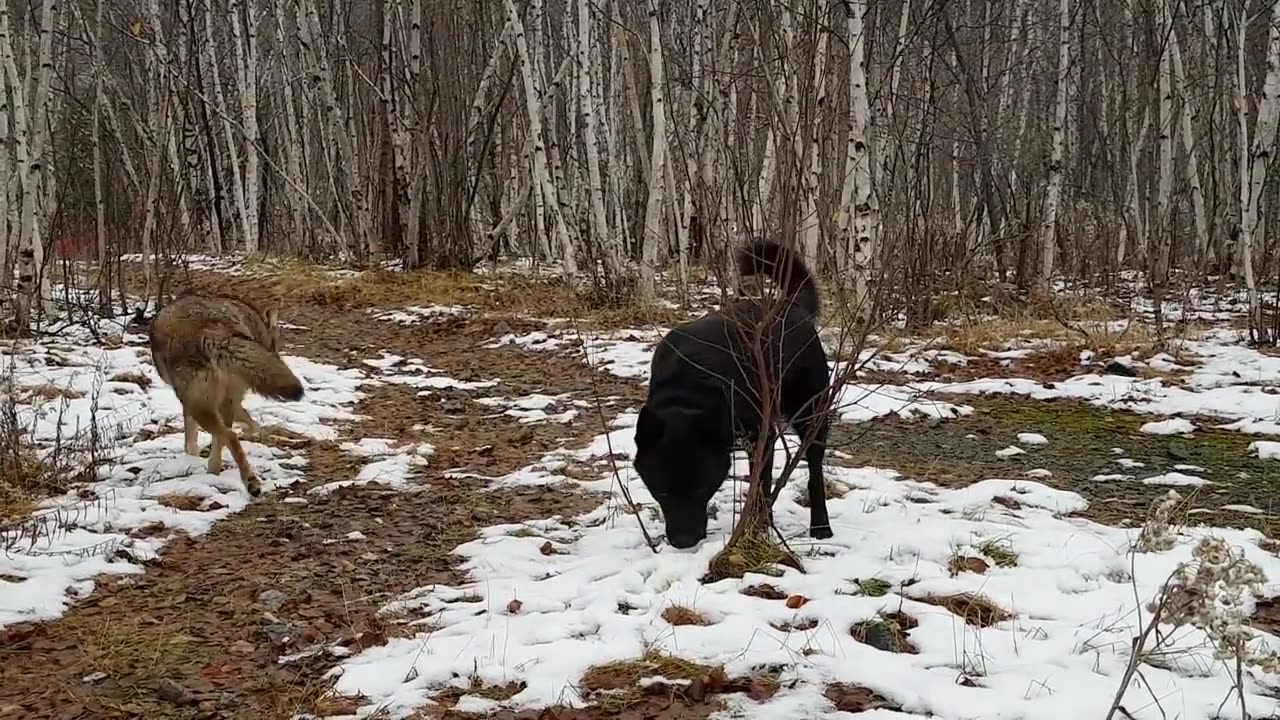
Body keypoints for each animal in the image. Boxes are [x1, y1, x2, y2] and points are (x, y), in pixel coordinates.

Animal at [634, 238, 834, 545]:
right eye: (663, 492)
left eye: (702, 489)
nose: (684, 542)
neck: (690, 386)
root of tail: (791, 306)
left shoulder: (762, 436)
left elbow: (761, 484)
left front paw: (756, 527)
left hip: (811, 413)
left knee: (814, 468)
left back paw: (821, 525)